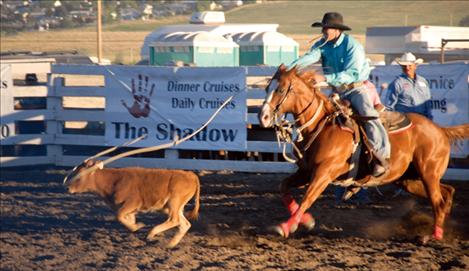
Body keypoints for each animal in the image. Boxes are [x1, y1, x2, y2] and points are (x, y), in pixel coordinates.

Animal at [64, 160, 199, 250]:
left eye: (79, 176)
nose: (67, 188)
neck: (113, 181)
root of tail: (191, 175)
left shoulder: (132, 203)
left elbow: (119, 216)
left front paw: (137, 226)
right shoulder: (128, 208)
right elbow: (126, 217)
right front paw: (134, 224)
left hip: (173, 203)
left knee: (174, 220)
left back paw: (151, 233)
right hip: (173, 207)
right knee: (184, 224)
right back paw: (170, 244)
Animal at [258, 65, 468, 243]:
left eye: (280, 89)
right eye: (267, 87)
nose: (263, 117)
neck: (321, 128)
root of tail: (440, 130)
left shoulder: (323, 174)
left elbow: (307, 199)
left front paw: (287, 226)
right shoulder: (305, 173)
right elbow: (284, 187)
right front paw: (306, 220)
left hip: (428, 173)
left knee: (437, 201)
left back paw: (432, 236)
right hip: (410, 179)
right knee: (447, 192)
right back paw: (440, 228)